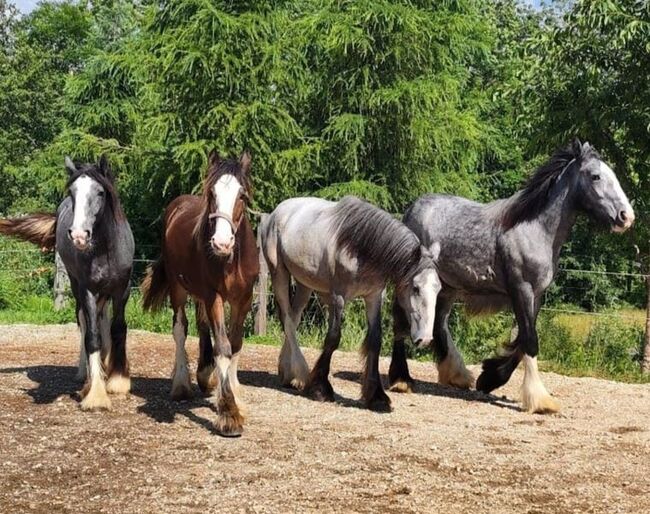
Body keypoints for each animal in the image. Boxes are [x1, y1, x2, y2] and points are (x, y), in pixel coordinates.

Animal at [0, 156, 134, 408]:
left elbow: (118, 329)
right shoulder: (87, 289)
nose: (79, 235)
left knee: (102, 319)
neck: (105, 251)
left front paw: (118, 381)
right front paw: (95, 393)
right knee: (84, 322)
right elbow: (92, 337)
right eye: (72, 192)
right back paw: (86, 373)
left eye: (100, 192)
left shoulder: (122, 290)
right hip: (76, 286)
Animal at [141, 150, 258, 434]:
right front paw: (229, 413)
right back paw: (181, 384)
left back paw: (205, 376)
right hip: (178, 288)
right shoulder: (214, 296)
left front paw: (234, 396)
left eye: (242, 195)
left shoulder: (243, 300)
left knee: (202, 324)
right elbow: (223, 346)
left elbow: (235, 345)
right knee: (180, 328)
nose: (221, 243)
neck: (231, 260)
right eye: (212, 194)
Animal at [260, 194, 438, 410]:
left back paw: (289, 374)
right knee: (287, 319)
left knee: (293, 320)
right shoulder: (338, 297)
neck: (360, 246)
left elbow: (375, 340)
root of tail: (277, 212)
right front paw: (320, 389)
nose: (426, 339)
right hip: (279, 273)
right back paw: (301, 374)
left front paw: (377, 396)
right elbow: (333, 338)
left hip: (305, 284)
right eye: (416, 288)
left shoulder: (374, 297)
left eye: (438, 289)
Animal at [390, 140, 632, 412]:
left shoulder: (536, 295)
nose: (626, 216)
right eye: (595, 176)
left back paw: (458, 376)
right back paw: (401, 380)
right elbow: (529, 340)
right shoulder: (521, 289)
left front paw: (490, 379)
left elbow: (523, 340)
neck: (533, 229)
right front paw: (540, 401)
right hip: (414, 282)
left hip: (448, 286)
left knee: (439, 322)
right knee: (401, 319)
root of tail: (412, 209)